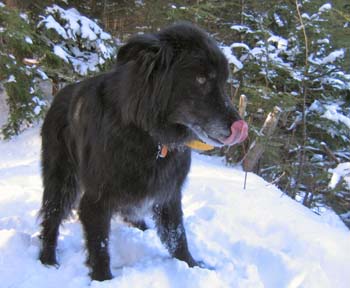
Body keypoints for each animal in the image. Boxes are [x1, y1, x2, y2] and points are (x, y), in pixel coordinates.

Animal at [39, 23, 249, 282]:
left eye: (222, 81)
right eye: (201, 79)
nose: (239, 126)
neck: (151, 137)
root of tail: (60, 93)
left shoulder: (168, 193)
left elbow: (177, 237)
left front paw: (194, 266)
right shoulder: (96, 200)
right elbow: (99, 246)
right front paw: (103, 280)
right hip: (61, 180)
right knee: (51, 217)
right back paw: (47, 259)